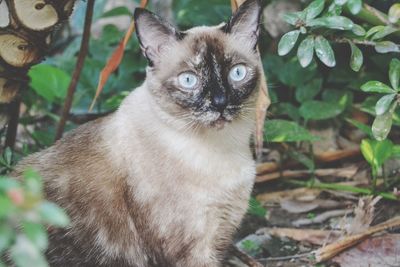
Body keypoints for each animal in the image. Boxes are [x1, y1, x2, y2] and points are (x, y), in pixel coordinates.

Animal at [11, 1, 262, 266]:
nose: (220, 103)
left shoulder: (219, 237)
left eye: (237, 73)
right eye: (188, 80)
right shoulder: (193, 250)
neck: (223, 149)